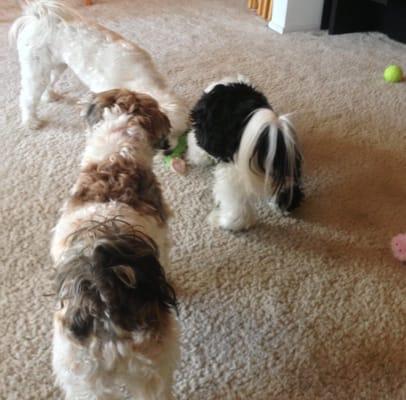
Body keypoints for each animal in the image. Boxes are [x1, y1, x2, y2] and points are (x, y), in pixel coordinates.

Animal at [9, 0, 187, 140]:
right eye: (160, 136)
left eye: (180, 134)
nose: (170, 149)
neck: (141, 79)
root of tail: (39, 18)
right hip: (36, 69)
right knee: (27, 98)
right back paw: (30, 121)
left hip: (56, 66)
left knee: (49, 82)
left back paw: (49, 96)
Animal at [186, 76, 302, 231]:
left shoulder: (199, 137)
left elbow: (196, 151)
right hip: (285, 170)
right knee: (288, 193)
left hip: (233, 177)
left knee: (240, 213)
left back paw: (221, 221)